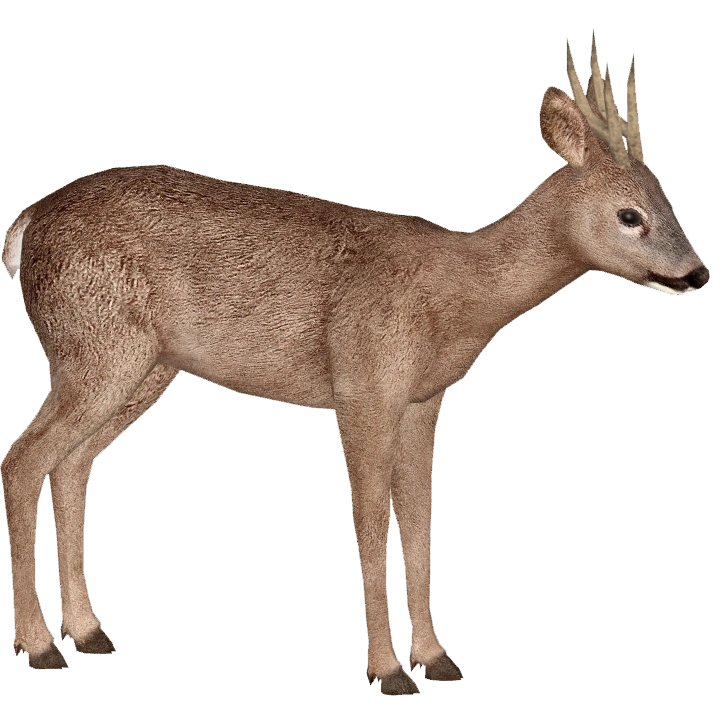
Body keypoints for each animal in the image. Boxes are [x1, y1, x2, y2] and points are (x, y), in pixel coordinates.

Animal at [0, 29, 708, 694]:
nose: (698, 272)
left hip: (146, 369)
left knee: (71, 467)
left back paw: (90, 632)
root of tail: (27, 223)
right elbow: (370, 528)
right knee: (24, 460)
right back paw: (40, 647)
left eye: (668, 198)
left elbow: (419, 527)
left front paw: (438, 660)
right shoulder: (363, 388)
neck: (457, 293)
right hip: (94, 346)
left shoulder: (424, 400)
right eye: (630, 215)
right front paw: (389, 672)